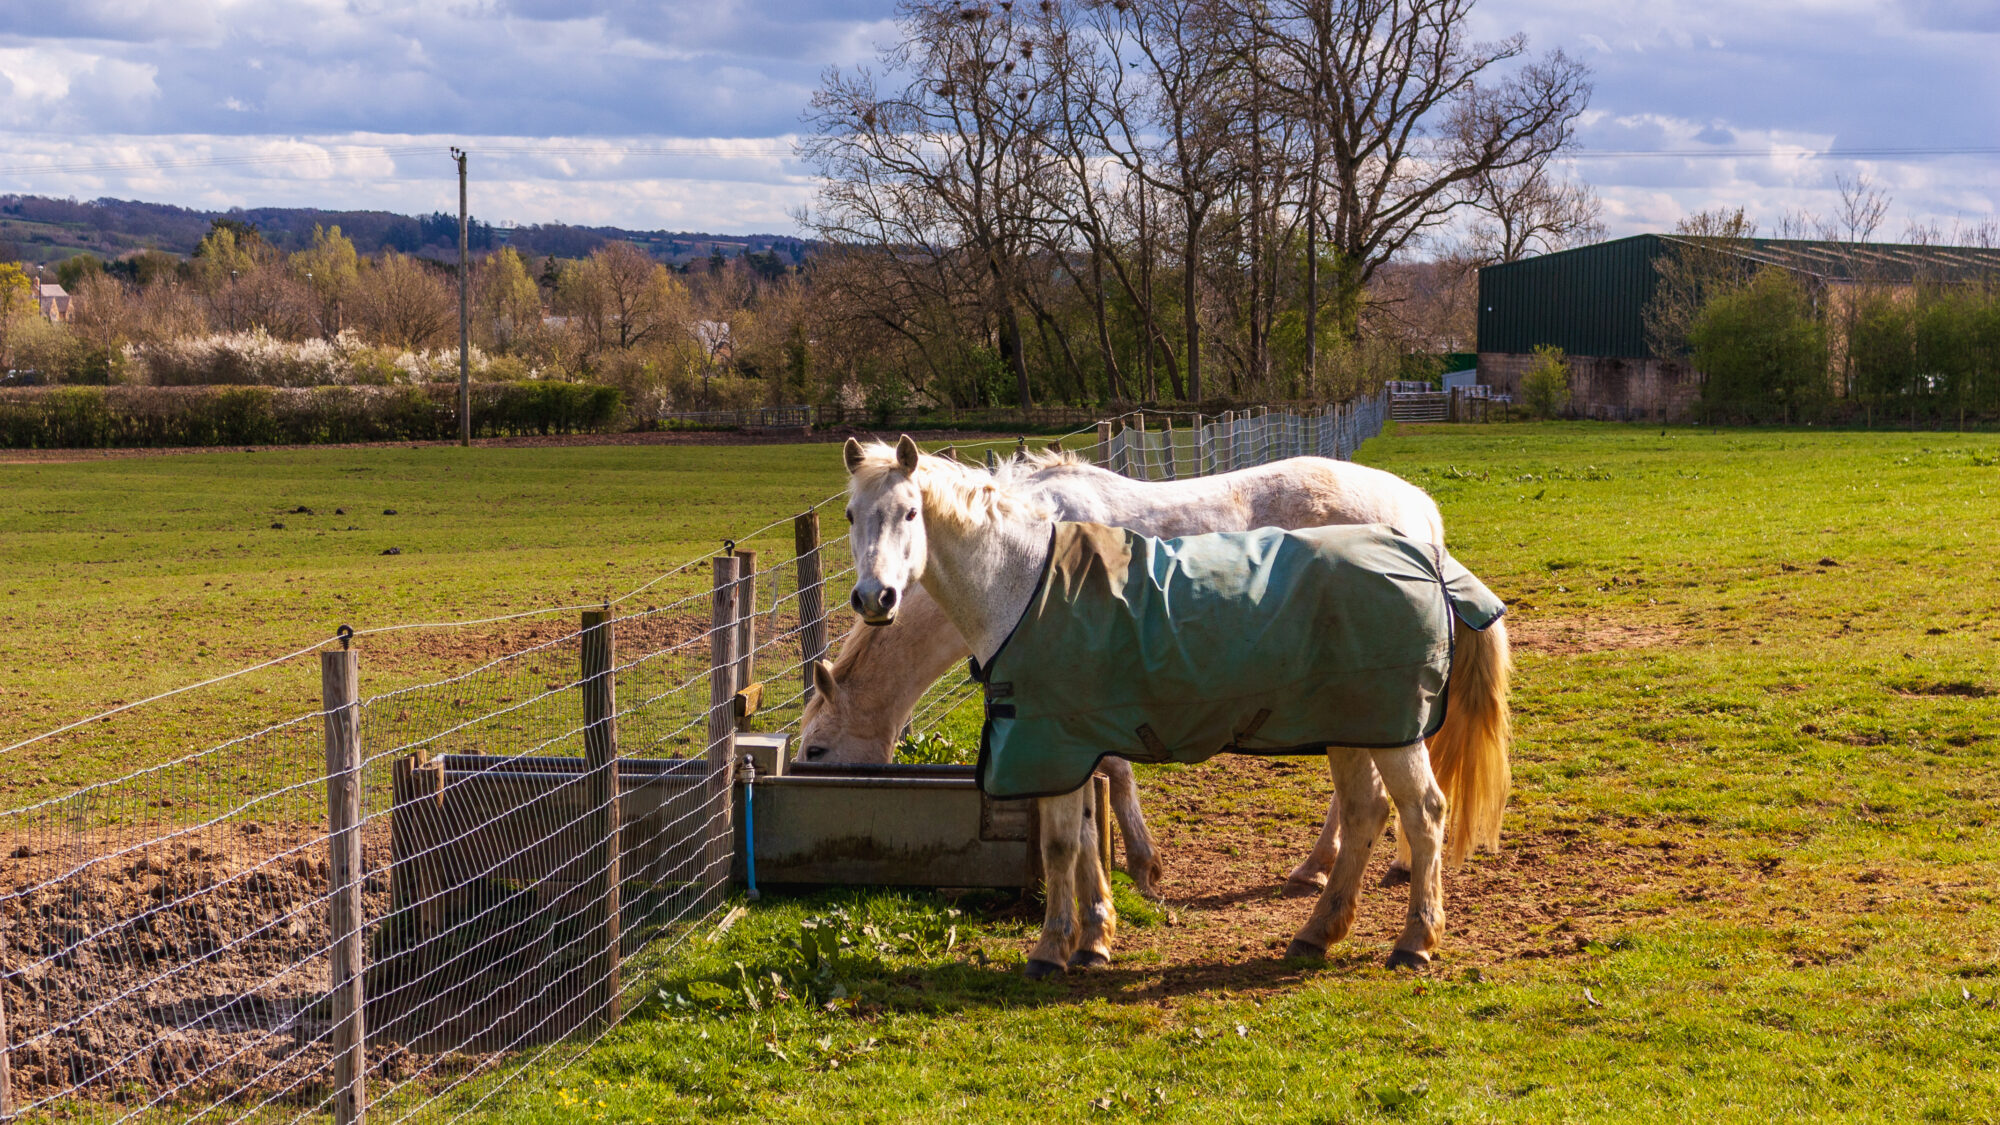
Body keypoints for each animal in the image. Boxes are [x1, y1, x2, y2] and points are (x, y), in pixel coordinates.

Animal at [842, 435, 1512, 976]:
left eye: (910, 511)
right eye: (850, 515)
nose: (874, 598)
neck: (1026, 582)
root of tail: (1423, 539)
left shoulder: (1058, 743)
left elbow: (1073, 834)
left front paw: (1075, 935)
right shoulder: (1066, 745)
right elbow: (1079, 835)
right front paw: (1088, 938)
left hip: (1384, 726)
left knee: (1423, 810)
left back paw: (1413, 941)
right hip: (1356, 725)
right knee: (1366, 809)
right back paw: (1318, 927)